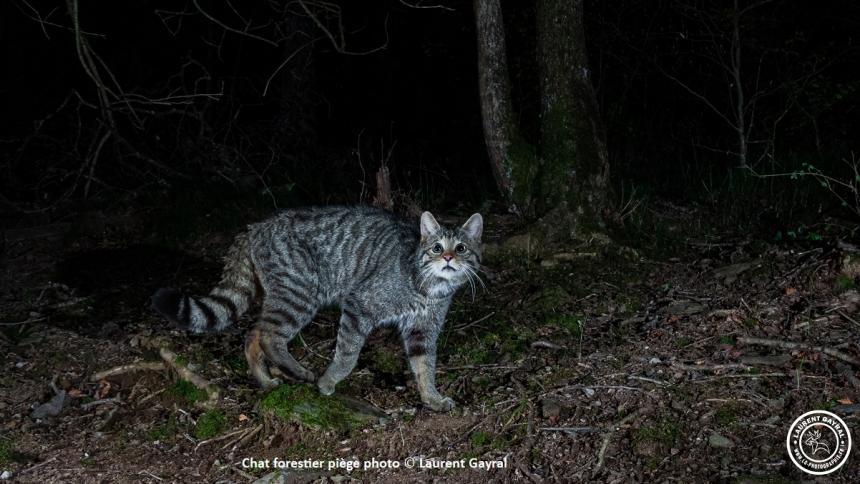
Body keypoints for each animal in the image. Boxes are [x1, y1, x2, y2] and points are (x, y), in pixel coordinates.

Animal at [150, 207, 480, 412]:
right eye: (436, 247)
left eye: (461, 248)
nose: (448, 258)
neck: (430, 287)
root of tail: (255, 227)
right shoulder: (359, 305)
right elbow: (347, 355)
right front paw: (329, 381)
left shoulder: (423, 331)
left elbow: (425, 367)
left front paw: (432, 398)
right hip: (300, 293)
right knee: (268, 336)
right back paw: (296, 370)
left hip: (289, 296)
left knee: (253, 334)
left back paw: (265, 380)